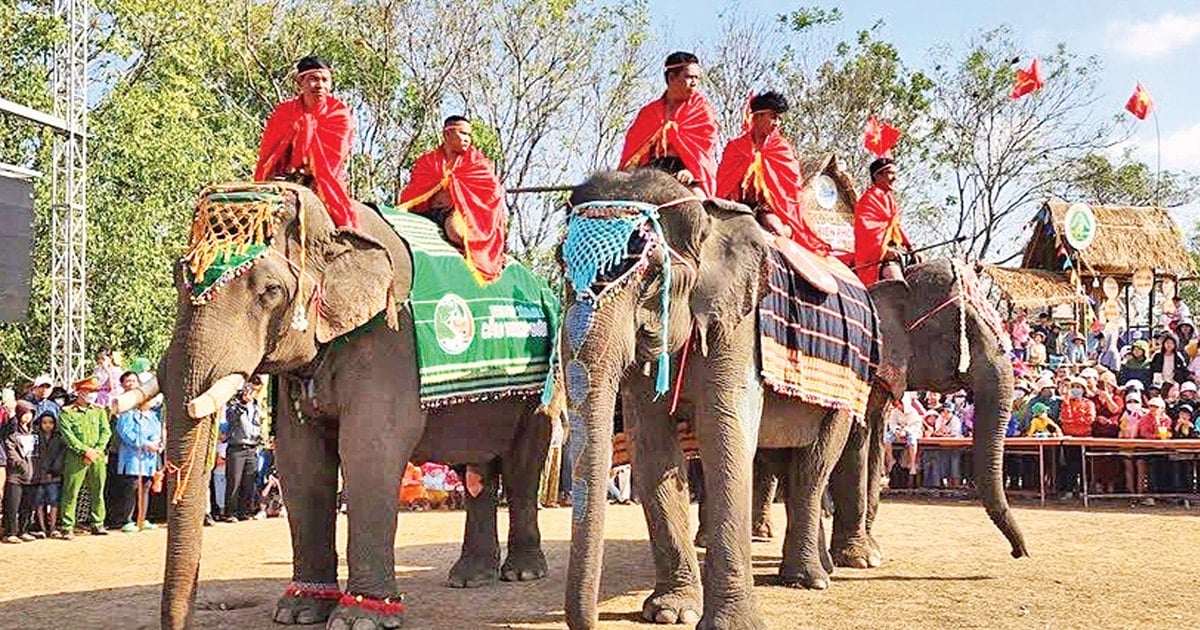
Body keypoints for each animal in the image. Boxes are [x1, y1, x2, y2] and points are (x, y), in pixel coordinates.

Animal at [157, 181, 554, 628]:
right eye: (177, 276)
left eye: (271, 291)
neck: (336, 224)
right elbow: (301, 462)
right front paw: (298, 611)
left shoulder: (390, 341)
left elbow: (369, 451)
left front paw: (360, 618)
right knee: (476, 469)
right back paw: (470, 578)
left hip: (544, 387)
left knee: (522, 467)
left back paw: (522, 573)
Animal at [556, 168, 878, 628]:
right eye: (562, 265)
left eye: (653, 275)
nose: (592, 621)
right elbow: (652, 448)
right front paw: (670, 612)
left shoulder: (739, 323)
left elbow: (724, 434)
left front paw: (730, 624)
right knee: (788, 460)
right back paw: (816, 570)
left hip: (848, 382)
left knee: (815, 465)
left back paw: (811, 580)